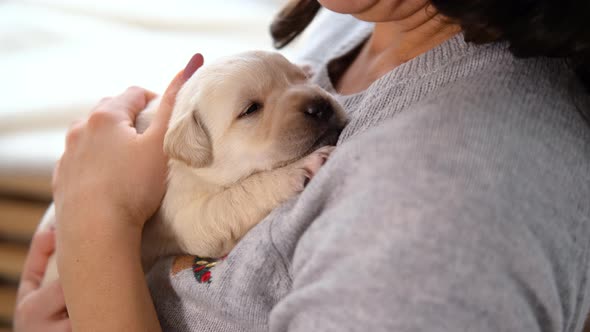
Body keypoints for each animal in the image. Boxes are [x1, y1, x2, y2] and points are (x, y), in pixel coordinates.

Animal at [40, 50, 346, 284]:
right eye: (251, 109)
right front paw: (302, 167)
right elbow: (241, 194)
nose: (320, 105)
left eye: (301, 79)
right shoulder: (184, 215)